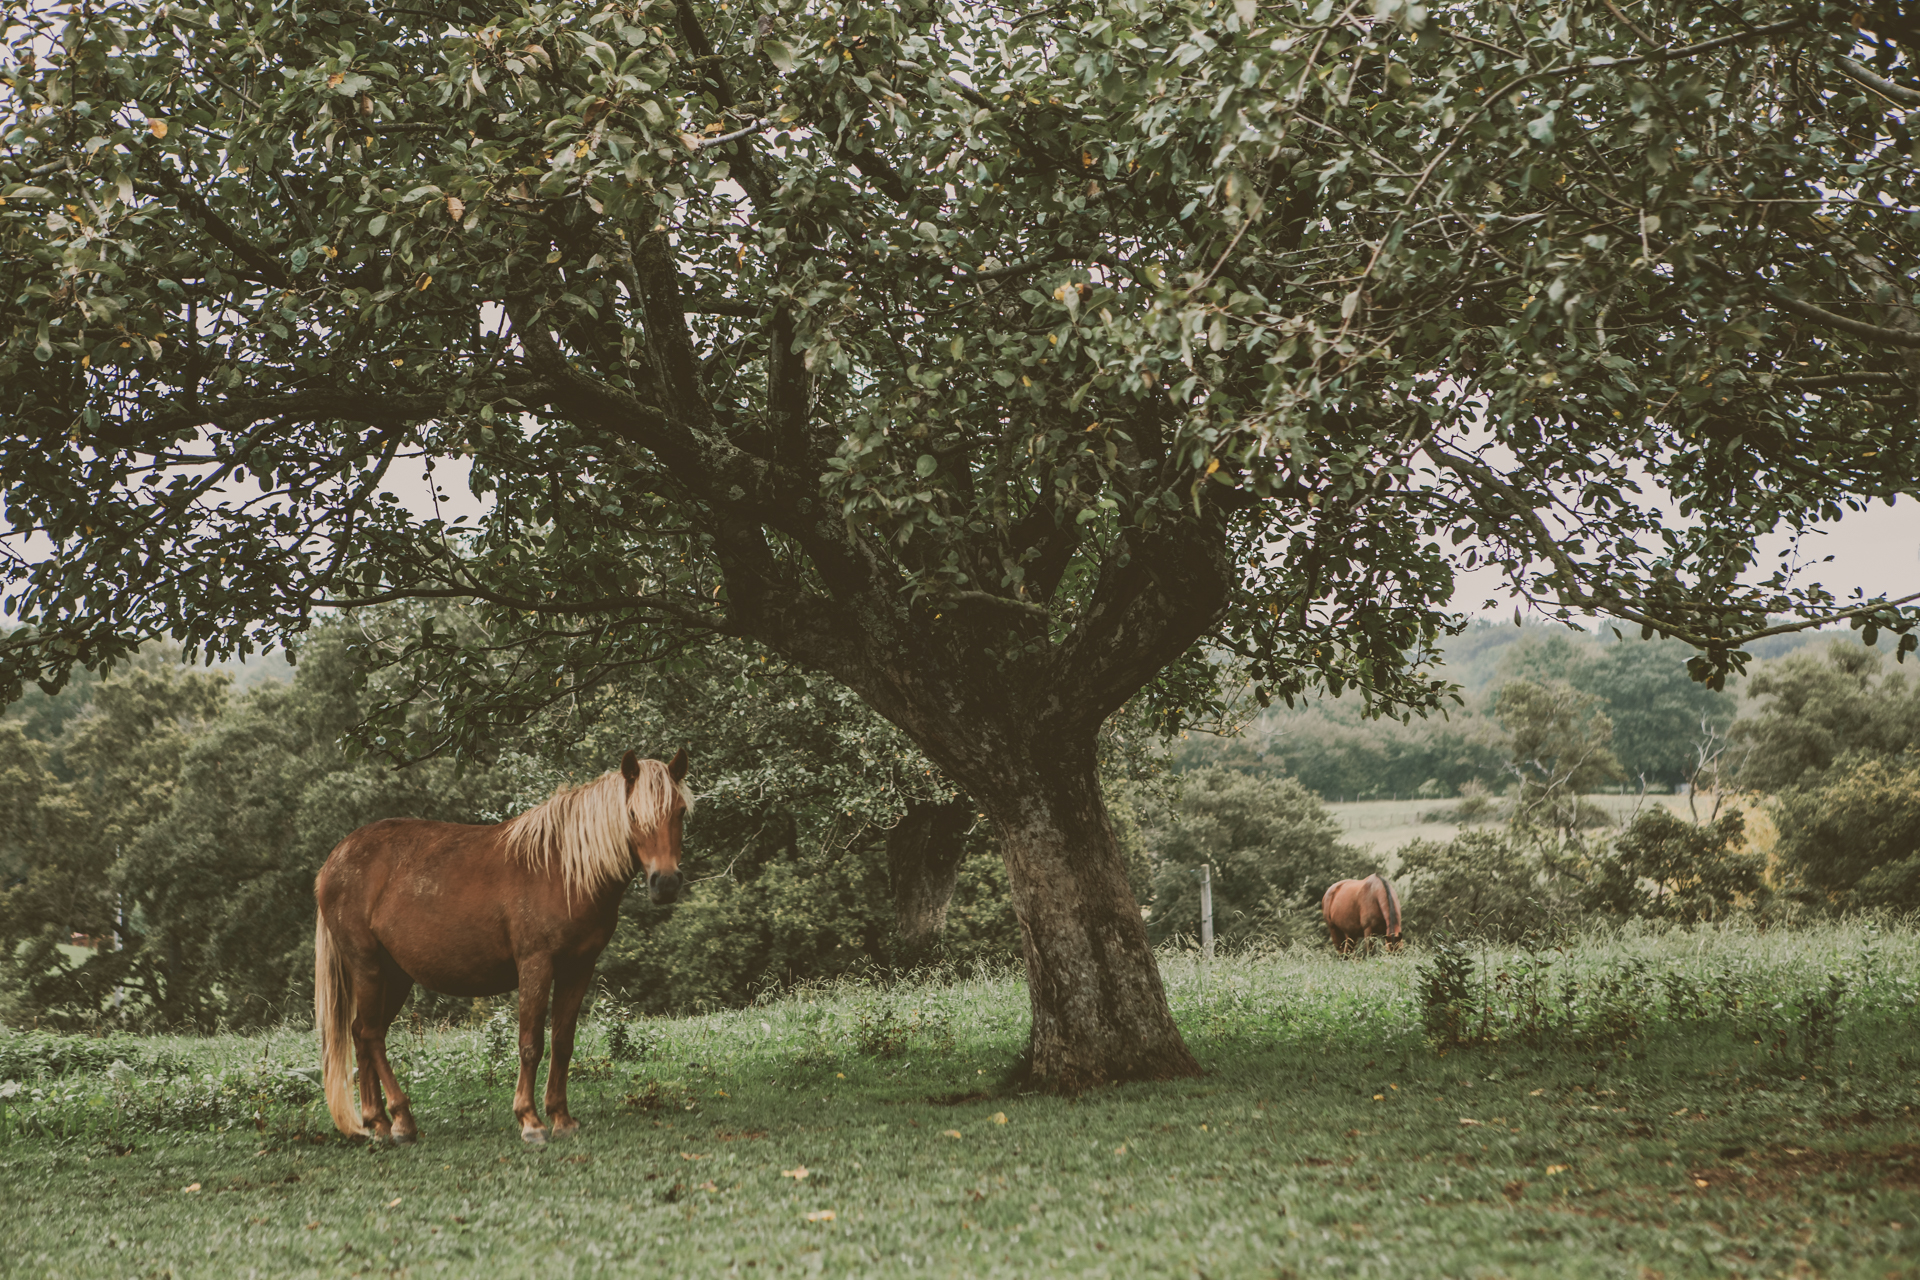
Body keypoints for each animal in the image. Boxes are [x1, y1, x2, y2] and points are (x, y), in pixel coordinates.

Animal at [305, 744, 683, 1143]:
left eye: (680, 811)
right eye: (633, 814)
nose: (666, 882)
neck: (560, 870)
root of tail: (335, 860)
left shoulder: (578, 968)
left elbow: (562, 1041)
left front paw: (561, 1118)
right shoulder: (536, 965)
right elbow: (531, 1043)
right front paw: (530, 1121)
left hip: (395, 976)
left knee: (361, 1034)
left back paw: (378, 1123)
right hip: (368, 967)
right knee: (372, 1034)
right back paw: (401, 1120)